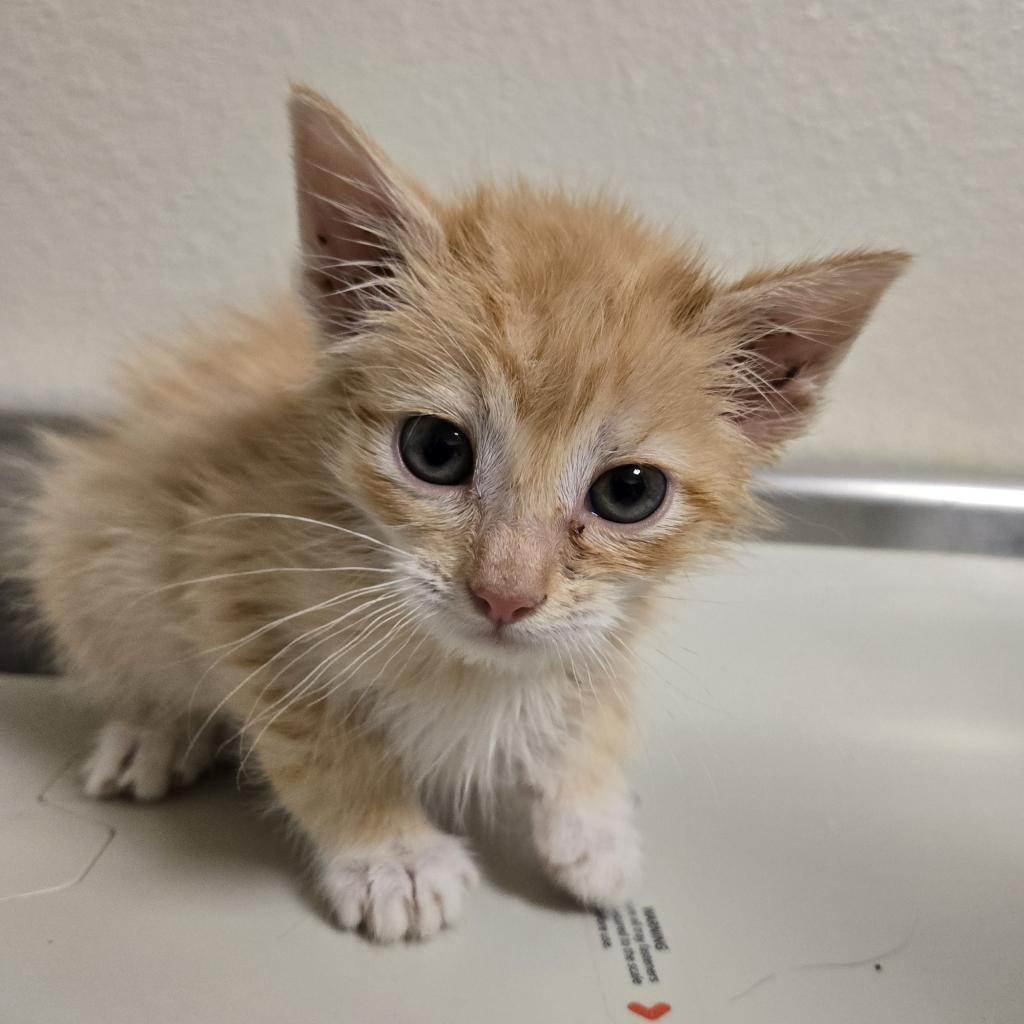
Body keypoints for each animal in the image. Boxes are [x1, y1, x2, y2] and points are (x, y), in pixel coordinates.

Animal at [25, 83, 905, 937]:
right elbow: (317, 733)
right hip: (93, 548)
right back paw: (154, 729)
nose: (505, 596)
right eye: (435, 450)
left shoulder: (614, 613)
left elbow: (598, 689)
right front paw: (392, 852)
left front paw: (594, 814)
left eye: (629, 492)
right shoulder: (229, 568)